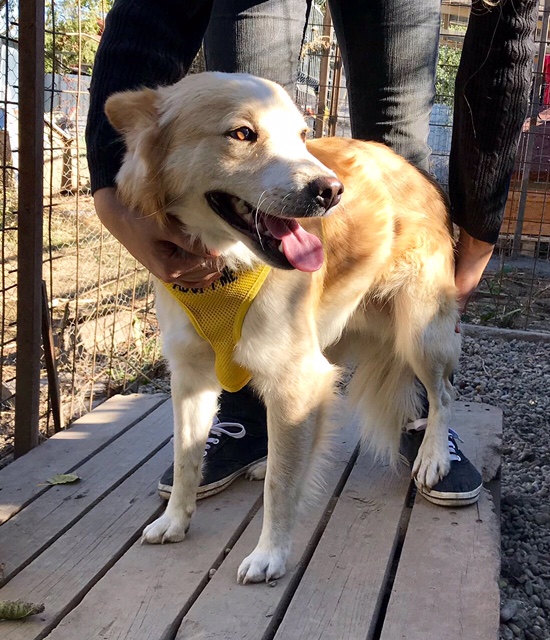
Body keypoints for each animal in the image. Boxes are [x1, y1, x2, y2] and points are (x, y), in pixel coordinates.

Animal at [104, 71, 462, 584]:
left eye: (302, 136)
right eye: (242, 134)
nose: (331, 191)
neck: (223, 268)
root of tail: (420, 172)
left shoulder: (298, 379)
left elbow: (282, 484)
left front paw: (269, 554)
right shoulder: (191, 377)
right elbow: (186, 454)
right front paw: (175, 520)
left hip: (420, 334)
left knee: (443, 394)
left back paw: (434, 455)